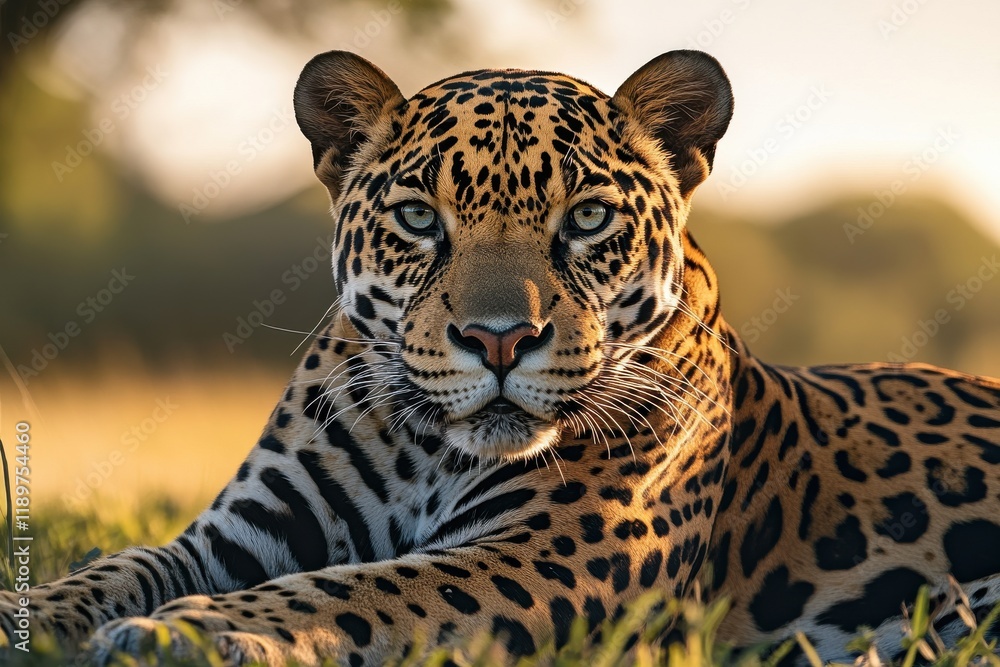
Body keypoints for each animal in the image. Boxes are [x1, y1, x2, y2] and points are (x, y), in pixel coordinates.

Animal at [3, 49, 1000, 666]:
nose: (497, 340)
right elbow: (114, 567)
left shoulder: (547, 550)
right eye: (418, 217)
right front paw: (42, 612)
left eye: (588, 217)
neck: (424, 446)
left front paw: (183, 632)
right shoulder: (237, 533)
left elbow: (354, 590)